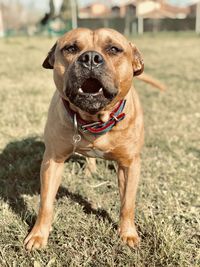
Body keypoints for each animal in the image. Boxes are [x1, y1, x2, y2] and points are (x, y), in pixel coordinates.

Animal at [24, 27, 163, 251]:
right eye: (71, 48)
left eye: (114, 49)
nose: (90, 58)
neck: (95, 120)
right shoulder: (52, 161)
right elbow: (45, 203)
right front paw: (38, 234)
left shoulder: (130, 165)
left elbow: (128, 203)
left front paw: (128, 233)